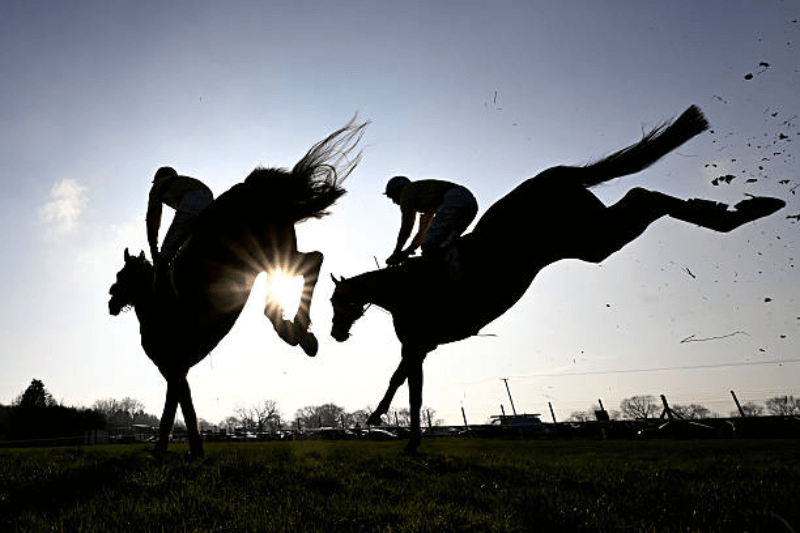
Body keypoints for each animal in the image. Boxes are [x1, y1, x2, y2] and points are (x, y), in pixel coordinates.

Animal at [109, 118, 367, 457]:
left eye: (121, 276)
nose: (110, 301)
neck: (155, 302)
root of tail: (253, 187)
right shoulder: (178, 367)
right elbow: (176, 408)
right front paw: (177, 450)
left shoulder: (173, 365)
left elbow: (178, 409)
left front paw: (182, 451)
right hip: (272, 250)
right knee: (309, 261)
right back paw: (299, 331)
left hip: (265, 250)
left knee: (308, 265)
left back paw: (294, 328)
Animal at [329, 105, 785, 453]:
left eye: (334, 302)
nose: (335, 334)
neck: (400, 289)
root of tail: (558, 174)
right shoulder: (421, 347)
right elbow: (406, 384)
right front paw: (391, 427)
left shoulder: (417, 343)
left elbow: (406, 387)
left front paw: (387, 426)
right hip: (590, 237)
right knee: (640, 197)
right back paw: (740, 209)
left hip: (587, 238)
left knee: (643, 196)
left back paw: (738, 211)